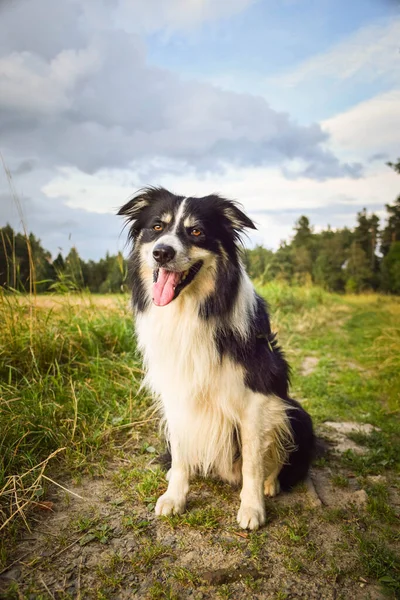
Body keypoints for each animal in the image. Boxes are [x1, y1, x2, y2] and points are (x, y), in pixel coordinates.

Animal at [119, 186, 316, 528]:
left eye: (196, 231)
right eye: (157, 227)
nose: (161, 252)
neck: (190, 310)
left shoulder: (256, 400)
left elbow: (252, 462)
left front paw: (252, 508)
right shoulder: (178, 393)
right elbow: (181, 453)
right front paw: (175, 496)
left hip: (295, 413)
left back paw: (271, 483)